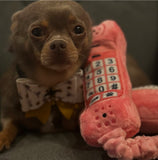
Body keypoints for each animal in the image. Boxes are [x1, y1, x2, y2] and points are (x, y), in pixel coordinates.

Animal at [0, 0, 92, 151]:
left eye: (78, 29)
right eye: (36, 31)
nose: (58, 43)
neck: (51, 82)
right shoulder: (10, 112)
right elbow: (10, 125)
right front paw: (3, 137)